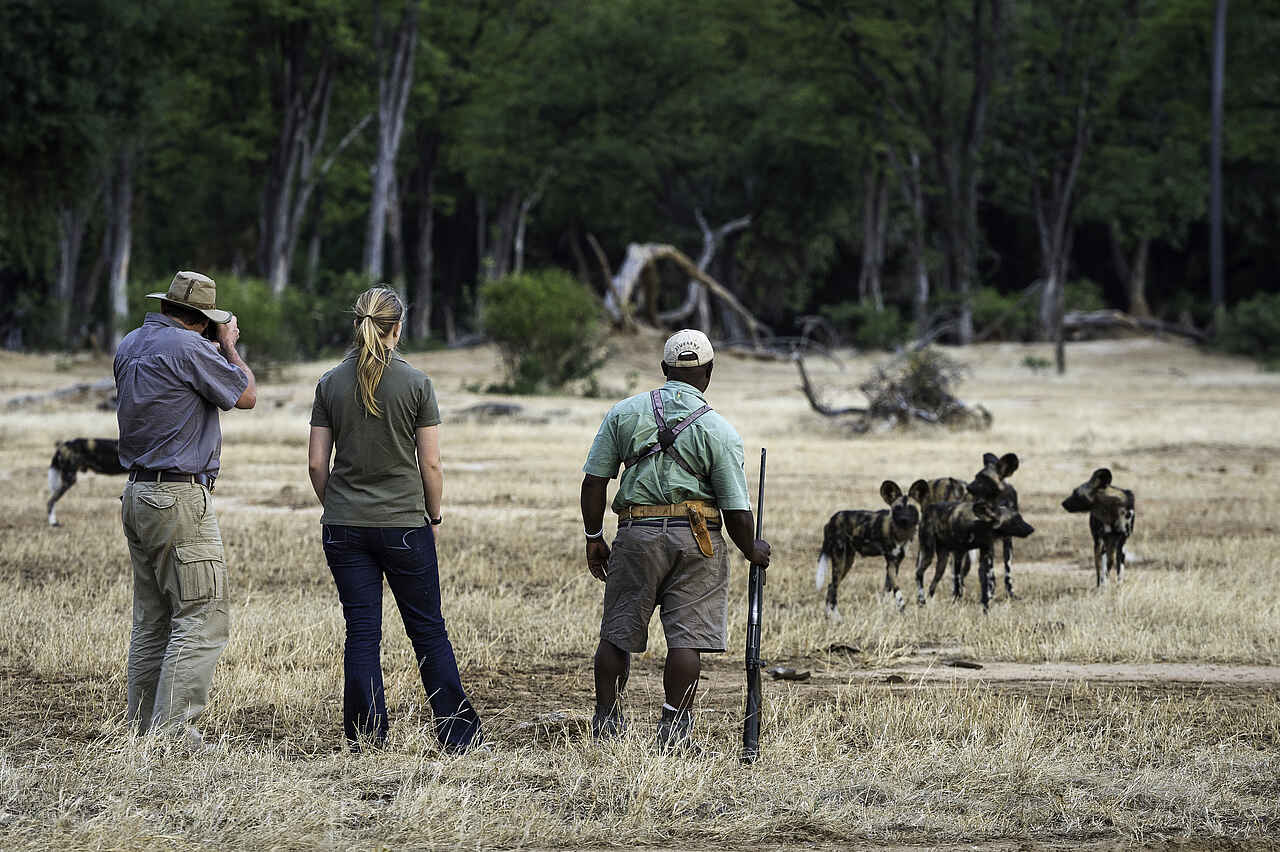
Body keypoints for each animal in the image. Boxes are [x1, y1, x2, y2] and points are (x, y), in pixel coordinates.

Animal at [816, 479, 930, 616]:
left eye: (911, 508)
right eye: (897, 509)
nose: (904, 519)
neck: (900, 534)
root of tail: (831, 520)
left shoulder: (895, 564)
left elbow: (886, 592)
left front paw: (884, 612)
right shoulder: (891, 563)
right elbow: (897, 592)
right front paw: (903, 612)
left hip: (848, 561)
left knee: (831, 586)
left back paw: (829, 617)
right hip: (839, 560)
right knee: (833, 588)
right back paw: (837, 618)